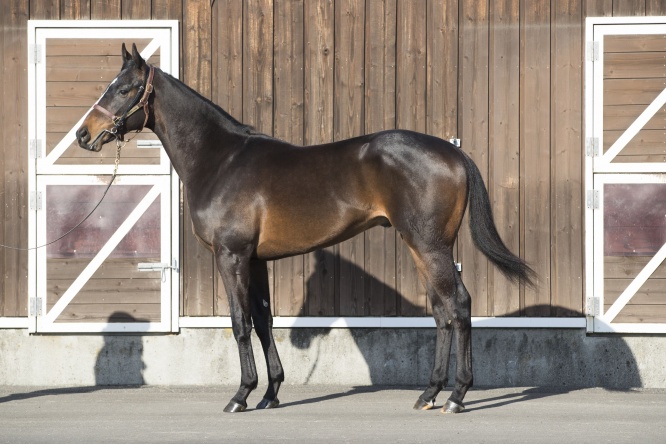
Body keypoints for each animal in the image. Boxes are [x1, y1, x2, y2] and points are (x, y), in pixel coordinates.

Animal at [76, 43, 535, 414]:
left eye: (123, 89)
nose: (84, 135)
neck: (221, 159)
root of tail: (453, 153)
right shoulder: (255, 260)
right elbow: (263, 320)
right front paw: (270, 393)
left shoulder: (231, 256)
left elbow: (239, 322)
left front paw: (241, 395)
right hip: (419, 246)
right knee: (441, 312)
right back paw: (429, 393)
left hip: (430, 246)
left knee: (459, 305)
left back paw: (457, 396)